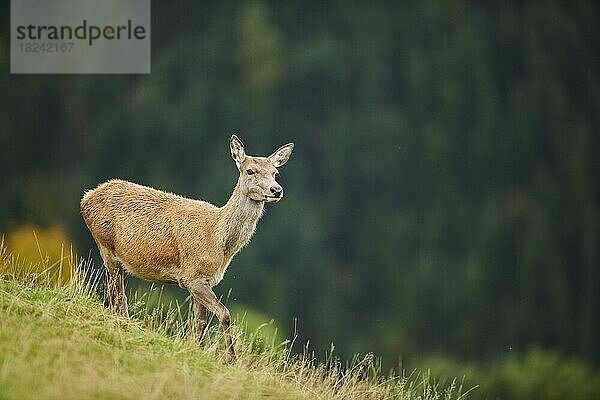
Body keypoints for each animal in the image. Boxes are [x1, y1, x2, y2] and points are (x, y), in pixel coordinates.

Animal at [79, 134, 296, 362]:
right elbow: (224, 314)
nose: (276, 190)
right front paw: (231, 359)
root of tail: (86, 197)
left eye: (275, 172)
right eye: (250, 170)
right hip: (105, 246)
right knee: (116, 294)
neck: (216, 238)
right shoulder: (191, 276)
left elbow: (200, 323)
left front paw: (199, 351)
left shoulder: (205, 279)